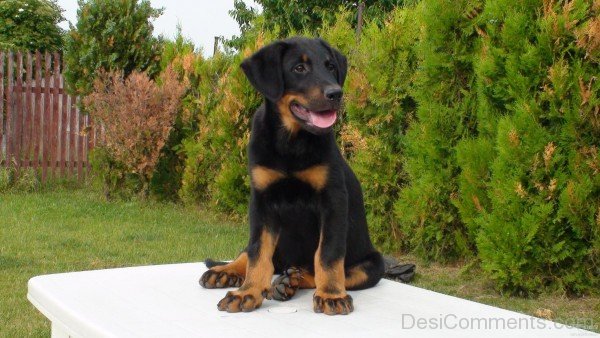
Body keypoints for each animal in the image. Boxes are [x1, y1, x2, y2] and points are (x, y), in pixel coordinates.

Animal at [198, 36, 384, 314]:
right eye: (299, 68)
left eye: (331, 67)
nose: (335, 94)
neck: (291, 141)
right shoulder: (261, 201)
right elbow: (258, 253)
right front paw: (248, 292)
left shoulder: (333, 200)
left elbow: (327, 255)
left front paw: (331, 295)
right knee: (249, 254)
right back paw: (226, 271)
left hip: (373, 264)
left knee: (320, 270)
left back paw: (290, 281)